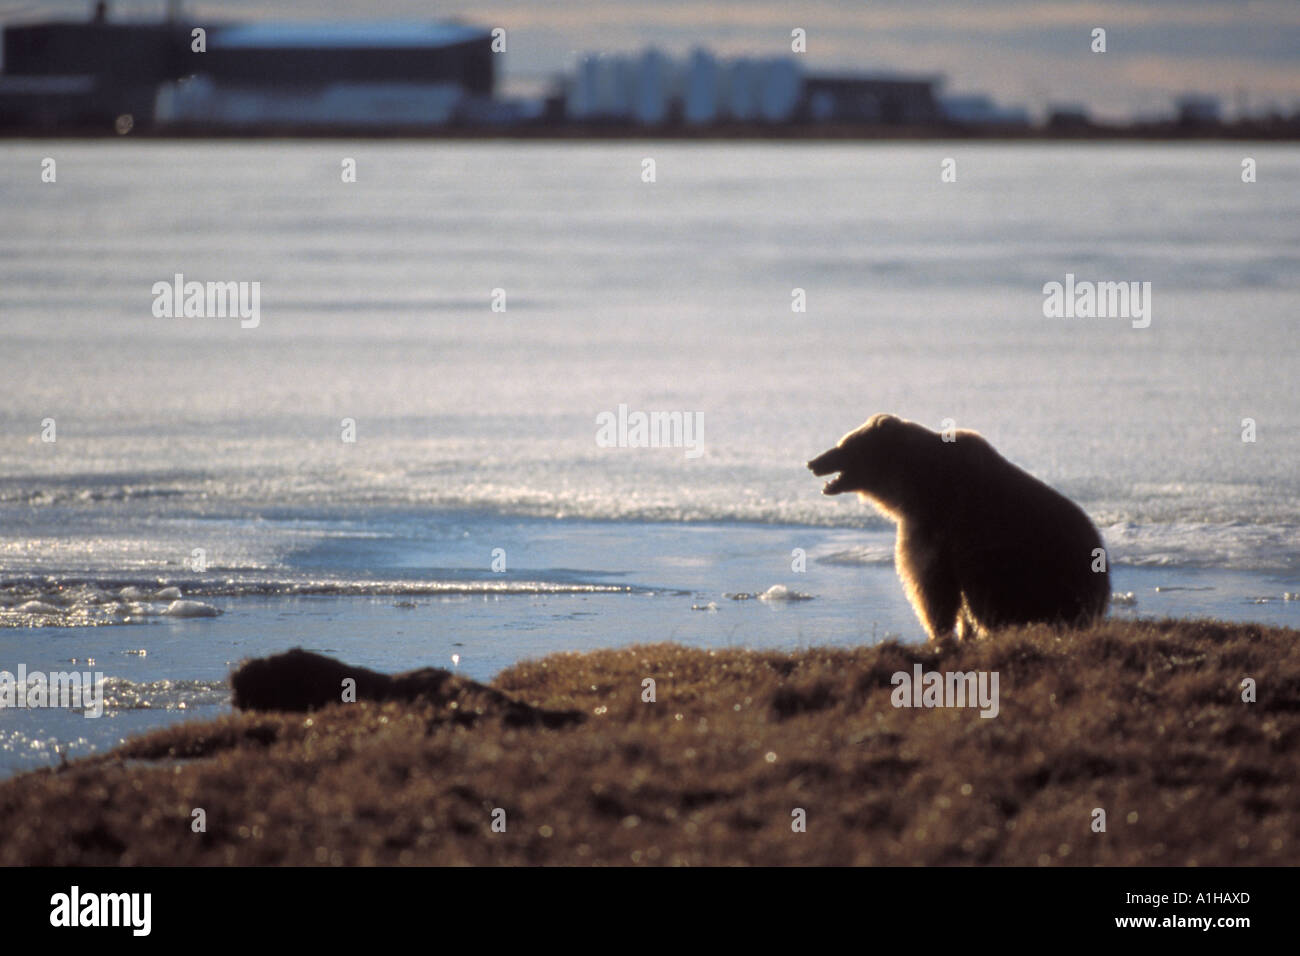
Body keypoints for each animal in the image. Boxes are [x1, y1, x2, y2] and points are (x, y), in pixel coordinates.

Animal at [807, 414, 1109, 641]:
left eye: (844, 445)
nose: (813, 462)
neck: (914, 484)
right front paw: (963, 634)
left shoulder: (935, 525)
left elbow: (929, 583)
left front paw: (940, 634)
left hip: (1035, 573)